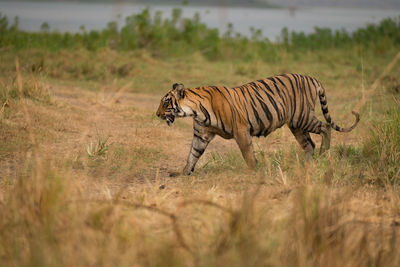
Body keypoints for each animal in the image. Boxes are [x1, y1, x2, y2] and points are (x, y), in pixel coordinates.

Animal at [155, 74, 360, 177]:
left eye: (165, 102)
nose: (157, 114)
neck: (196, 110)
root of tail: (313, 78)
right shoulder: (201, 135)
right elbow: (192, 154)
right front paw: (184, 172)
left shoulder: (240, 130)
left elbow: (247, 153)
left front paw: (253, 170)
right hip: (296, 125)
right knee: (309, 144)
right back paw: (306, 164)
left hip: (302, 117)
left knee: (325, 127)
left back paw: (324, 153)